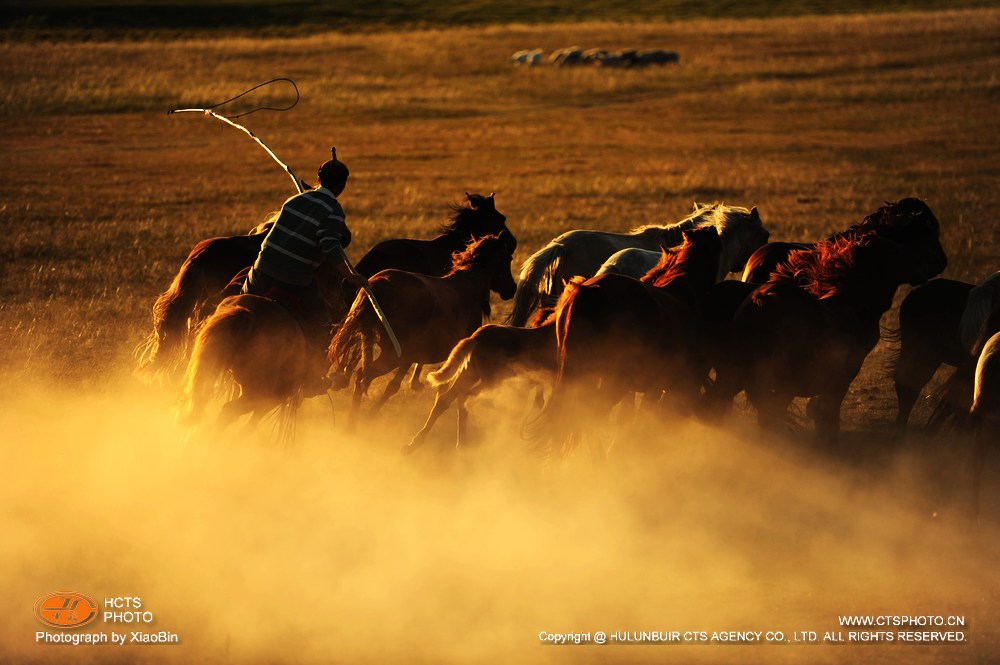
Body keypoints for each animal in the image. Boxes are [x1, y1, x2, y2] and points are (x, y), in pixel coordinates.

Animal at [330, 233, 520, 428]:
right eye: (508, 258)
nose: (512, 288)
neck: (467, 288)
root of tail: (377, 285)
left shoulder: (411, 356)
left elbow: (395, 386)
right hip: (391, 355)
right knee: (362, 376)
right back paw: (353, 425)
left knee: (359, 375)